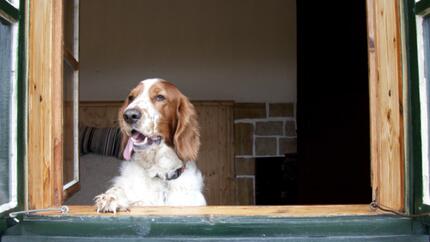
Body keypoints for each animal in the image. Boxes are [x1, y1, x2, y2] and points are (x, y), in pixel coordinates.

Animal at [94, 78, 208, 213]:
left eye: (160, 97)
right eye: (131, 97)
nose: (129, 115)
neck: (159, 173)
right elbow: (119, 190)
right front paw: (110, 198)